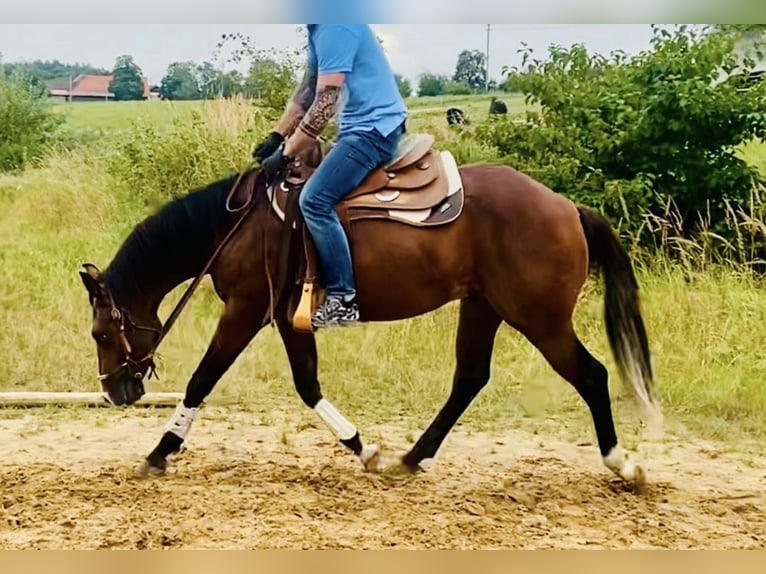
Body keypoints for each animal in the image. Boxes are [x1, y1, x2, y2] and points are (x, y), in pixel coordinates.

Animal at [79, 134, 664, 490]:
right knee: (470, 378)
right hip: (484, 306)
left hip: (539, 318)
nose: (114, 392)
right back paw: (412, 457)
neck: (238, 226)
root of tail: (567, 207)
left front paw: (159, 452)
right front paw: (366, 450)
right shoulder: (284, 318)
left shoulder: (246, 311)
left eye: (101, 334)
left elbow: (203, 380)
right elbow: (308, 384)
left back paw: (623, 463)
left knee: (590, 374)